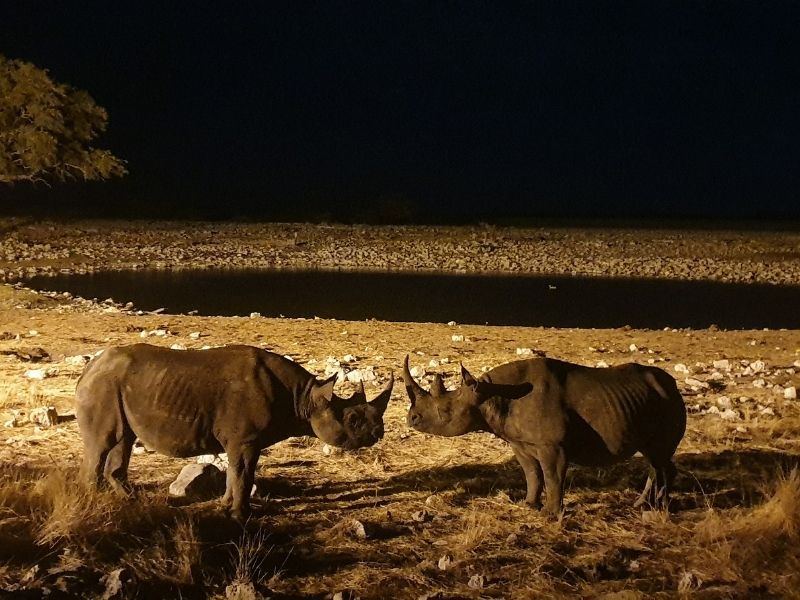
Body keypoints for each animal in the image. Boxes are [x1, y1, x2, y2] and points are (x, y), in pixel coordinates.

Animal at [73, 342, 392, 520]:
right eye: (352, 419)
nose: (378, 433)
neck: (304, 398)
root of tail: (89, 369)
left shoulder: (240, 440)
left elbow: (235, 473)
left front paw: (225, 506)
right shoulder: (246, 439)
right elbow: (243, 474)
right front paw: (242, 515)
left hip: (116, 387)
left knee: (123, 440)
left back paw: (128, 500)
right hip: (104, 386)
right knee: (102, 443)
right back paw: (91, 502)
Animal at [406, 356, 688, 516]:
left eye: (445, 411)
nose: (412, 419)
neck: (490, 395)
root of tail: (674, 385)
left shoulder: (553, 445)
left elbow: (552, 476)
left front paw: (551, 515)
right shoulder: (519, 442)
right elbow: (532, 473)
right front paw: (529, 505)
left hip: (667, 402)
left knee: (659, 457)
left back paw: (659, 509)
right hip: (645, 402)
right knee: (654, 458)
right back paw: (642, 504)